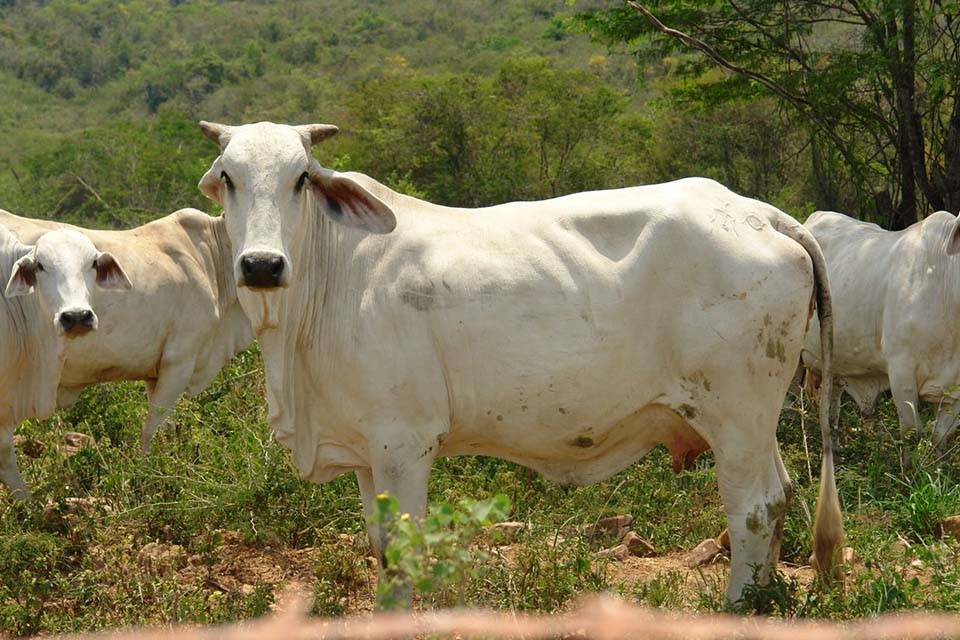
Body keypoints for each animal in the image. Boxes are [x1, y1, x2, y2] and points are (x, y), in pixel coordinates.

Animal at [196, 120, 842, 602]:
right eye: (228, 177)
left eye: (301, 178)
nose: (261, 265)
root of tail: (762, 215)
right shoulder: (363, 450)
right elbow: (380, 549)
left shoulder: (404, 442)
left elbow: (404, 552)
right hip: (755, 423)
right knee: (780, 496)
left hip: (735, 417)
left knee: (754, 507)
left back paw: (738, 605)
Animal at [802, 210, 960, 467]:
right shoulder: (901, 371)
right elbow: (911, 433)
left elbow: (940, 439)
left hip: (833, 364)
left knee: (831, 408)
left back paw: (835, 453)